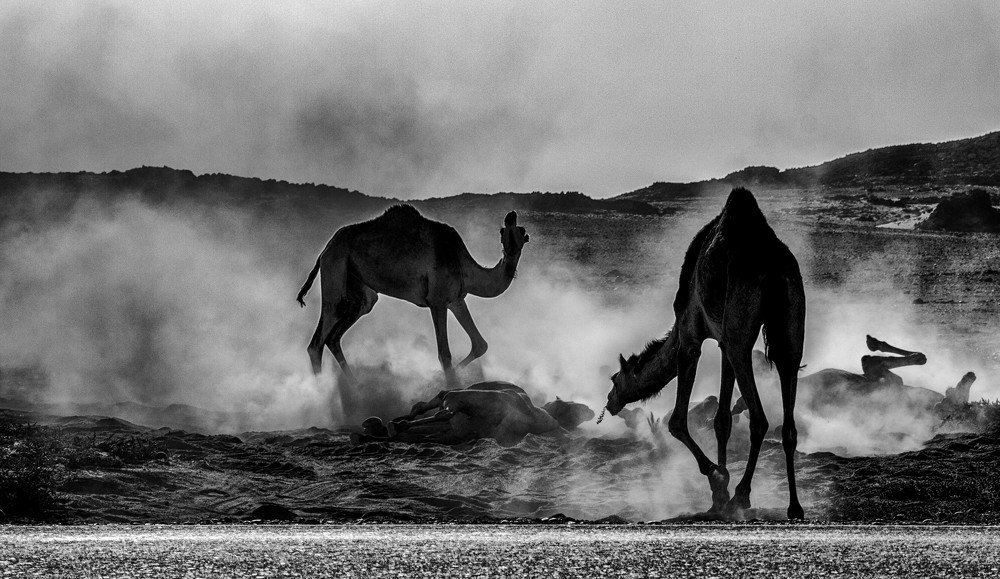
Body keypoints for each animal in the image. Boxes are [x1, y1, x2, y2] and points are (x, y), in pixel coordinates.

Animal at [297, 205, 529, 381]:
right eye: (503, 232)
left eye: (522, 231)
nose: (511, 216)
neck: (462, 263)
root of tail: (325, 249)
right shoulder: (437, 300)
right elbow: (444, 354)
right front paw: (450, 386)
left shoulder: (456, 299)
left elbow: (480, 344)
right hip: (334, 267)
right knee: (318, 341)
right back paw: (323, 396)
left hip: (360, 291)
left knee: (335, 335)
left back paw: (353, 388)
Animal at [601, 188, 806, 519]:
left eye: (614, 380)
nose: (610, 403)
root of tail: (773, 267)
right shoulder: (722, 342)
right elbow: (721, 420)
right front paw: (717, 497)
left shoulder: (690, 336)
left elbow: (676, 422)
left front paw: (718, 480)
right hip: (790, 326)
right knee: (788, 414)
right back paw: (794, 507)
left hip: (740, 330)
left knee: (759, 420)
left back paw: (742, 496)